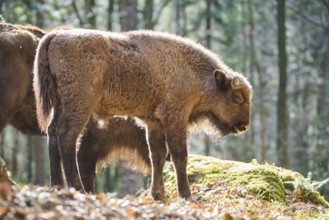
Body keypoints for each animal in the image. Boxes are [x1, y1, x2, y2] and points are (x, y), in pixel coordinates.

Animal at [34, 28, 251, 200]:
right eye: (236, 98)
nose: (244, 125)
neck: (194, 73)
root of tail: (56, 36)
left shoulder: (154, 122)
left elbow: (158, 156)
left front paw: (159, 194)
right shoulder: (175, 117)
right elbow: (179, 156)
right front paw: (187, 196)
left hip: (59, 103)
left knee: (52, 132)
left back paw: (57, 186)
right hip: (79, 106)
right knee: (67, 136)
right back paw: (77, 188)